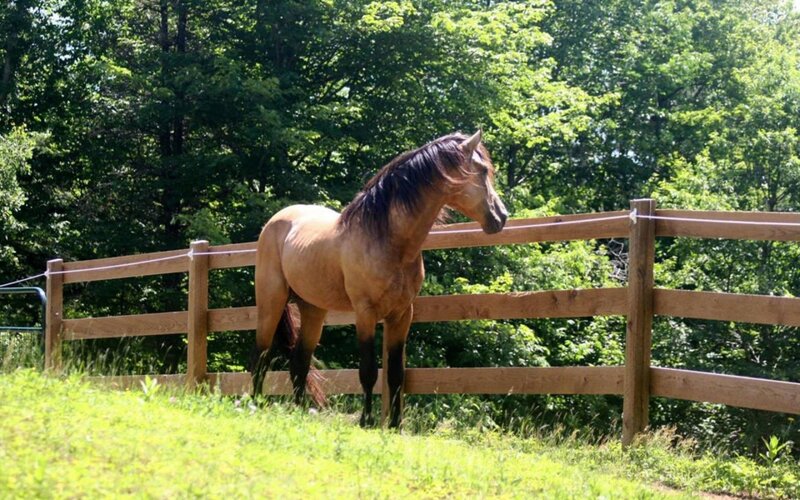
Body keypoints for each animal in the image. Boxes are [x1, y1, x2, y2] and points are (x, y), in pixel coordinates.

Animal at [251, 130, 508, 428]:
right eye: (482, 170)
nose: (501, 216)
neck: (387, 240)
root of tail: (277, 220)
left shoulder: (401, 315)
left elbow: (396, 373)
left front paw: (395, 425)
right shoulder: (365, 313)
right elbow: (369, 371)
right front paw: (366, 420)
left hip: (313, 309)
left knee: (299, 363)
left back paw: (300, 412)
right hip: (271, 301)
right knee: (261, 355)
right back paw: (253, 403)